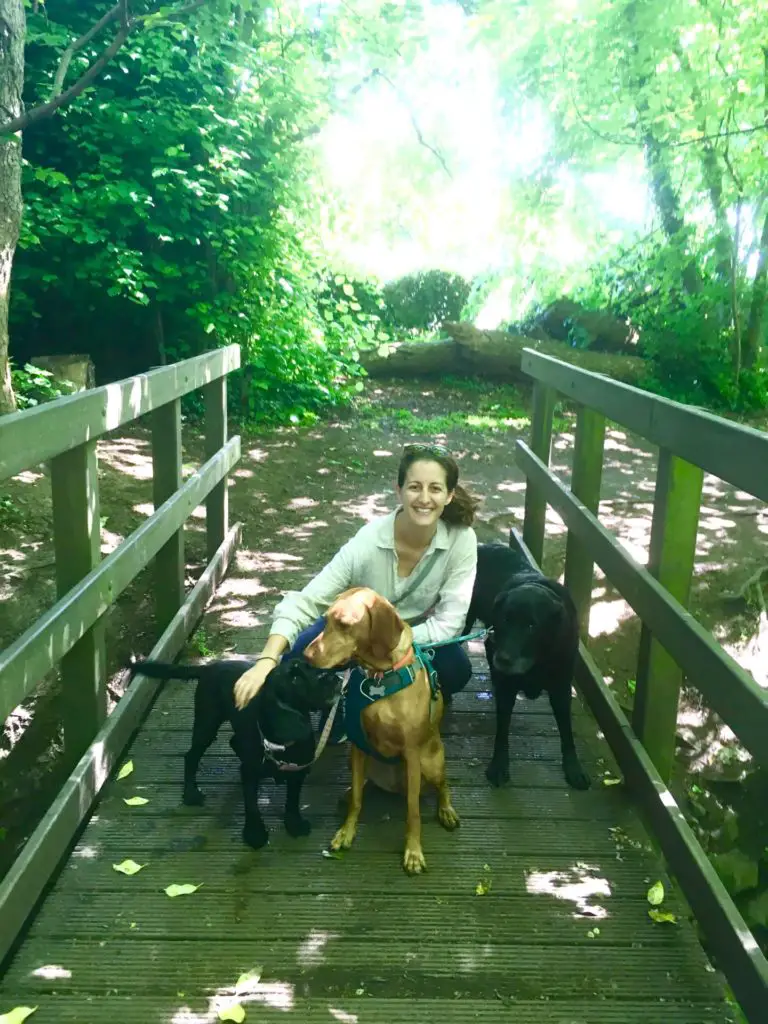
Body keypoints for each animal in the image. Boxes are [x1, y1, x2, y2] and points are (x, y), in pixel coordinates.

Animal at [129, 655, 342, 847]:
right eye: (295, 679)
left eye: (310, 667)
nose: (337, 678)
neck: (278, 742)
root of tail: (209, 667)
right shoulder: (249, 773)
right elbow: (252, 804)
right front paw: (255, 834)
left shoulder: (298, 770)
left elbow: (293, 799)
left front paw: (294, 824)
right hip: (207, 723)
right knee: (190, 756)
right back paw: (190, 793)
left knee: (232, 742)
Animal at [303, 589, 460, 876]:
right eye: (326, 620)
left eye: (344, 624)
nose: (307, 656)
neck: (378, 675)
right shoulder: (357, 745)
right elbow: (357, 800)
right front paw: (346, 832)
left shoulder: (411, 753)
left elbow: (413, 812)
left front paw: (413, 852)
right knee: (363, 784)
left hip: (431, 762)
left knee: (443, 786)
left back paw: (446, 810)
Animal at [462, 544, 593, 790]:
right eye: (505, 619)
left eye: (532, 625)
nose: (503, 659)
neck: (537, 660)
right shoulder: (507, 686)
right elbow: (502, 728)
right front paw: (499, 765)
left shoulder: (561, 688)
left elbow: (566, 730)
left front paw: (574, 767)